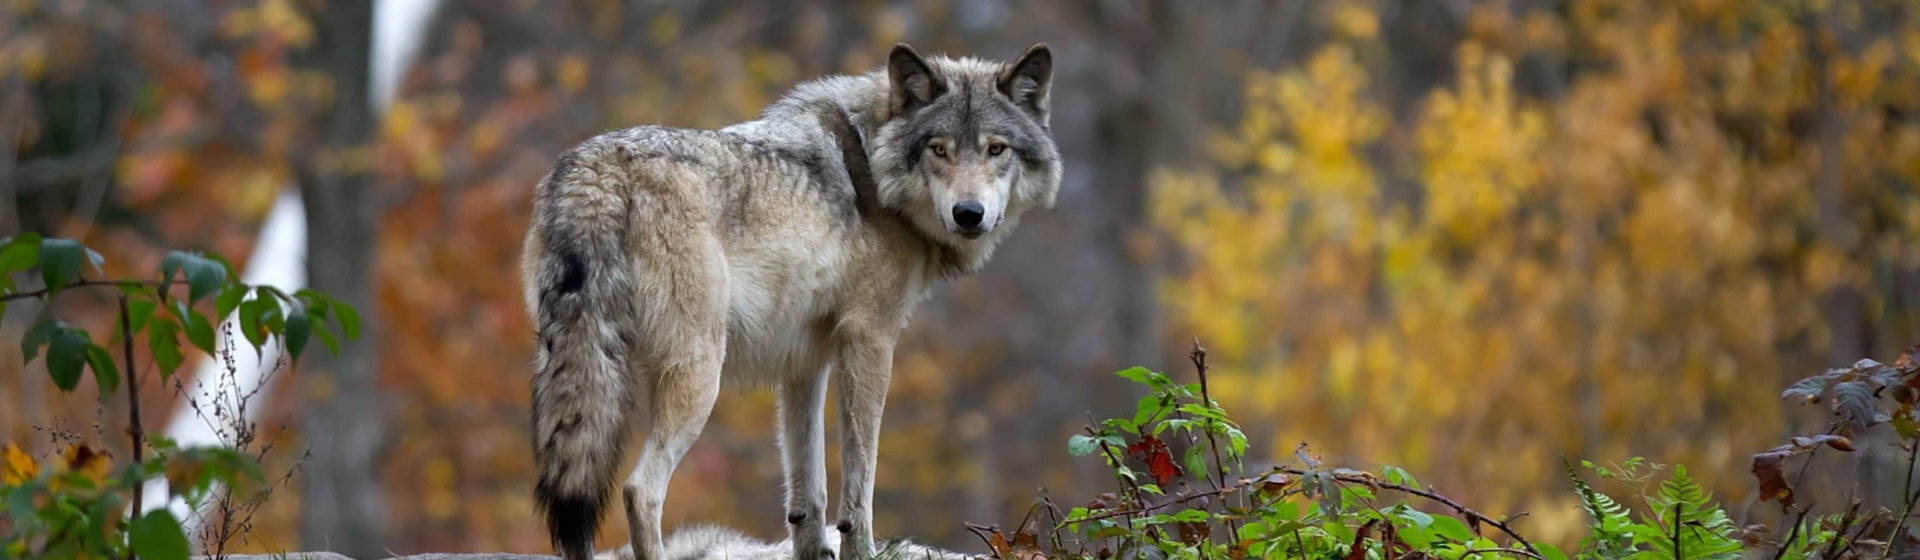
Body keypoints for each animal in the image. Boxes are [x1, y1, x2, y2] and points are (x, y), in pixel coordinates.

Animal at [522, 41, 1060, 560]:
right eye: (939, 150)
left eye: (996, 149)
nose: (969, 214)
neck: (872, 167)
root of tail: (597, 170)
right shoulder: (870, 340)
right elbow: (860, 478)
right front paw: (860, 550)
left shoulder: (803, 360)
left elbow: (808, 491)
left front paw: (814, 549)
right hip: (698, 375)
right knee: (640, 490)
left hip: (574, 368)